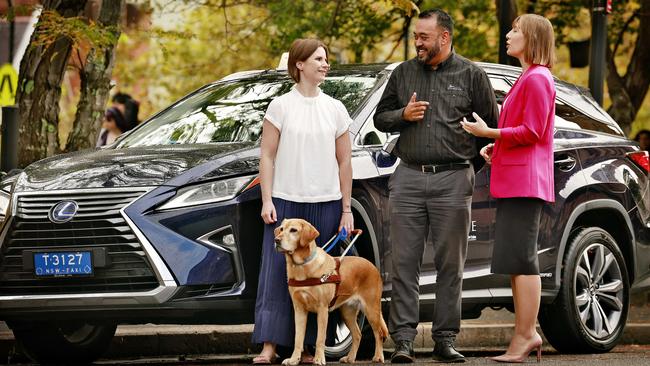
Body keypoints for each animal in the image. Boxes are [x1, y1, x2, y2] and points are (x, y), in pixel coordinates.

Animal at [272, 219, 384, 364]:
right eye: (281, 229)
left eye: (293, 230)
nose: (276, 240)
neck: (302, 266)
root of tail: (372, 266)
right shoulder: (299, 310)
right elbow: (298, 338)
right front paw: (294, 360)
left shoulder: (322, 309)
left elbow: (320, 338)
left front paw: (319, 359)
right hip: (347, 313)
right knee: (358, 334)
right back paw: (350, 358)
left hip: (371, 309)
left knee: (379, 333)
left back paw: (378, 356)